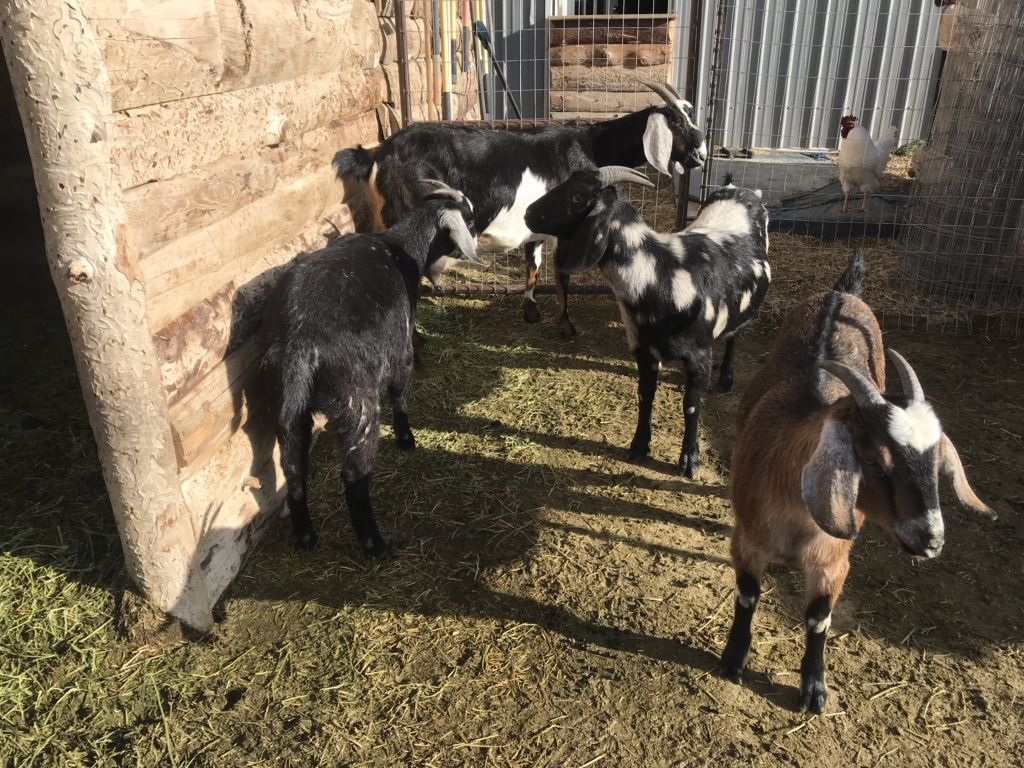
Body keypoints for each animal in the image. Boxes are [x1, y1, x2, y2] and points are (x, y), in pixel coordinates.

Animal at [260, 180, 479, 556]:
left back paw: (306, 536)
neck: (401, 246)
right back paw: (374, 543)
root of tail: (300, 342)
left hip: (286, 408)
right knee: (354, 477)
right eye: (468, 218)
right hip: (356, 404)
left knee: (293, 468)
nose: (477, 240)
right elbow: (400, 392)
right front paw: (406, 438)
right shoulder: (400, 349)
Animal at [334, 82, 707, 340]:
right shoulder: (569, 221)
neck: (589, 146)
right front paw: (566, 327)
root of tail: (377, 154)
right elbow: (561, 276)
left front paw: (530, 310)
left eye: (690, 113)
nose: (701, 156)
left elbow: (533, 265)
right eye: (676, 122)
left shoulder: (540, 221)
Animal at [524, 167, 771, 478]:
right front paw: (639, 446)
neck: (658, 274)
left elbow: (691, 406)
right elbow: (645, 395)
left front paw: (689, 461)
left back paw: (726, 377)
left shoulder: (699, 355)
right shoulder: (643, 349)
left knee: (734, 335)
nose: (528, 212)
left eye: (577, 197)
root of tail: (739, 188)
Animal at [719, 249, 996, 713]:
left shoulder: (833, 560)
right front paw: (732, 660)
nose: (932, 539)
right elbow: (747, 596)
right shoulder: (748, 541)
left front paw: (814, 689)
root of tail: (841, 293)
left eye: (936, 461)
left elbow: (819, 620)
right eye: (872, 459)